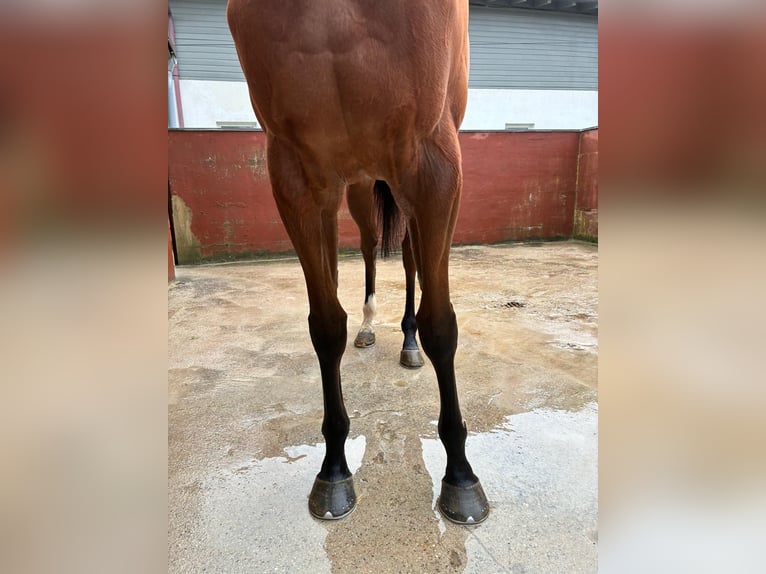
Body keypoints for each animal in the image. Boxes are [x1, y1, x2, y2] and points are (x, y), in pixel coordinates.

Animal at [227, 0, 489, 524]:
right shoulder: (299, 176)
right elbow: (326, 326)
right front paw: (332, 470)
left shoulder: (435, 163)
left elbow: (441, 325)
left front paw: (460, 475)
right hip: (362, 185)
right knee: (370, 247)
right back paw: (371, 327)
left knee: (410, 260)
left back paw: (408, 342)